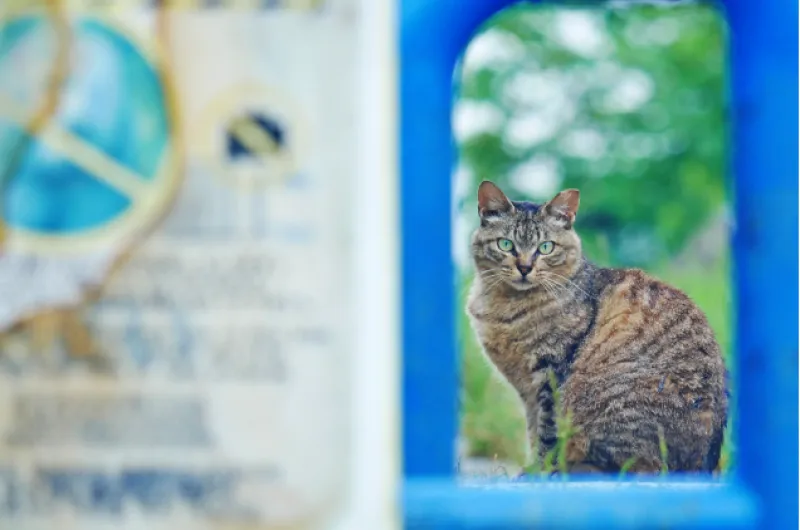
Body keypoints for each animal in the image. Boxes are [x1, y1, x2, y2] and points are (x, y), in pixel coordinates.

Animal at [466, 182, 728, 470]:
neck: (507, 306)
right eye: (506, 244)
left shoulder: (550, 375)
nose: (524, 267)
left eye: (545, 247)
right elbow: (533, 432)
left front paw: (540, 471)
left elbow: (546, 435)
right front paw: (533, 467)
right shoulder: (528, 391)